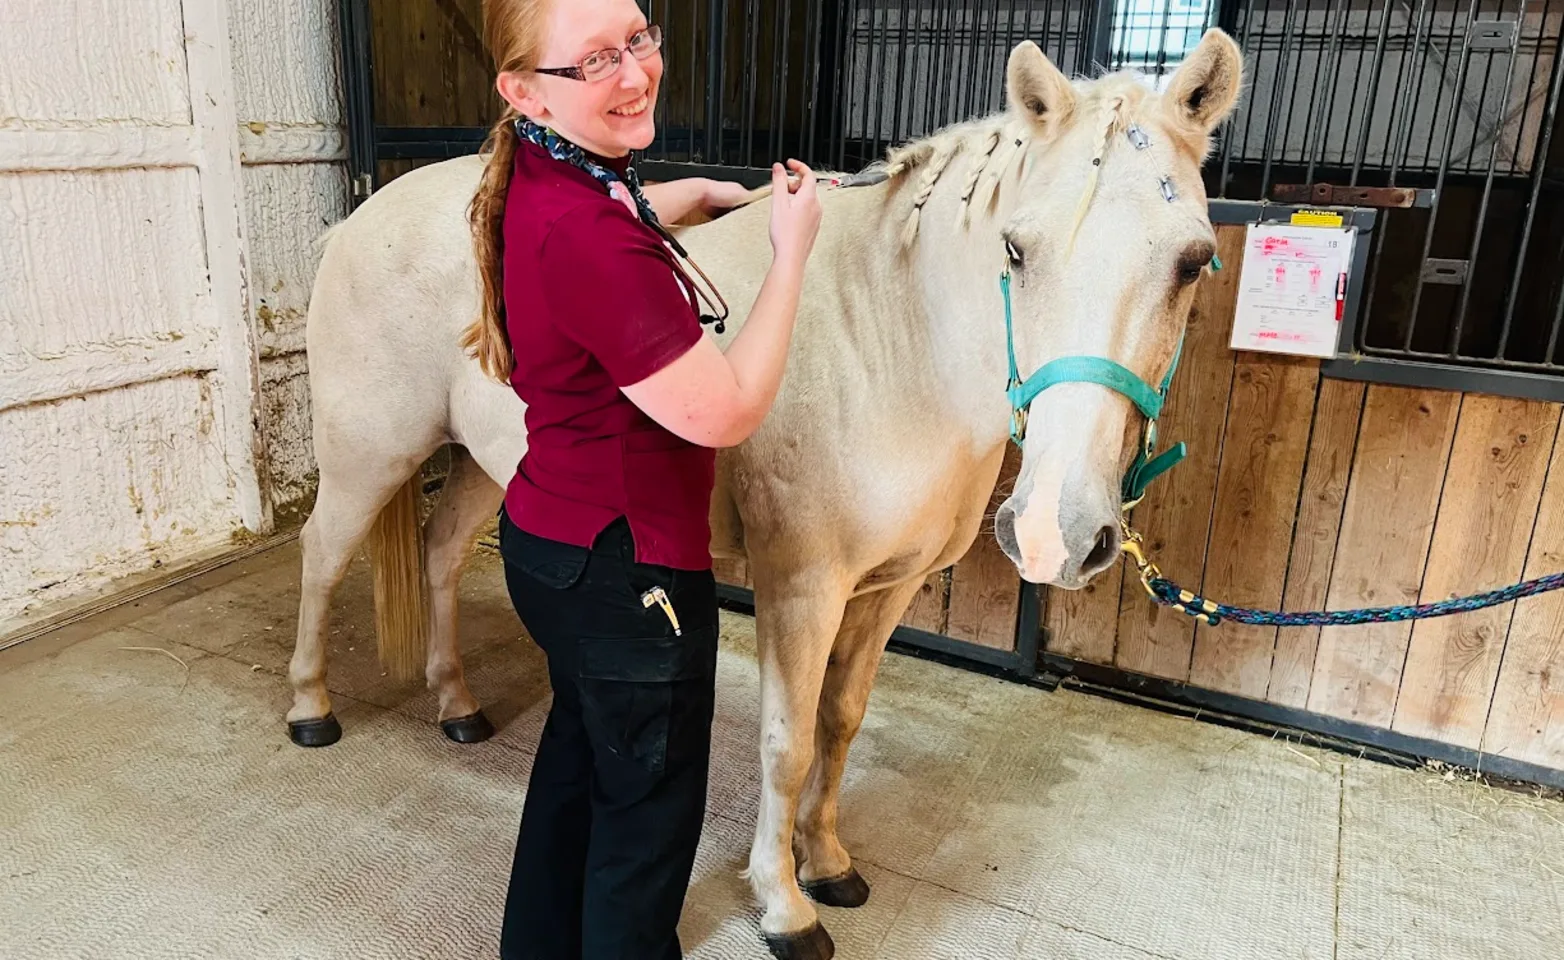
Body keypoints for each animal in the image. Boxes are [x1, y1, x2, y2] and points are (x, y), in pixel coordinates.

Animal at [290, 33, 1244, 956]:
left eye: (1193, 263)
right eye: (1016, 249)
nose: (1055, 532)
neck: (891, 332)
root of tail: (360, 217)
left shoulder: (889, 587)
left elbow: (841, 722)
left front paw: (827, 865)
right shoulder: (803, 590)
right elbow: (787, 745)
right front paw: (784, 906)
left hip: (485, 466)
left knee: (443, 555)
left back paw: (456, 705)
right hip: (367, 457)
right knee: (323, 560)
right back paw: (310, 710)